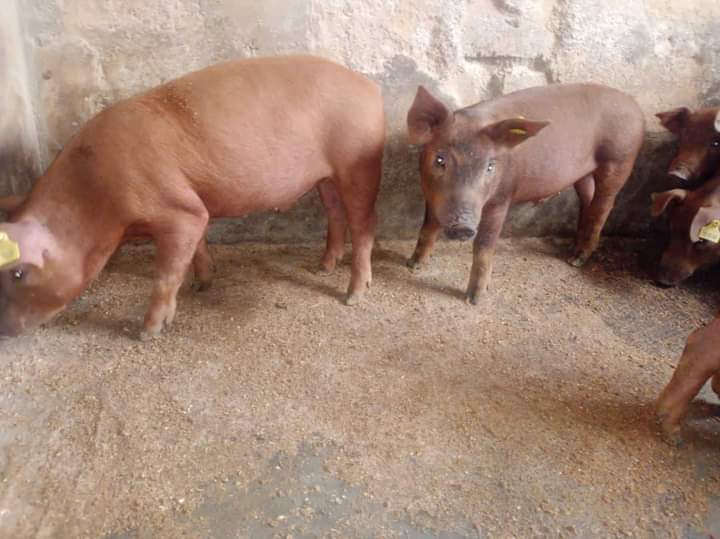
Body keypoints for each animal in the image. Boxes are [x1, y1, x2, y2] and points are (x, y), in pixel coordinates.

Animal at [0, 55, 385, 340]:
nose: (5, 330)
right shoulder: (194, 205)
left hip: (358, 164)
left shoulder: (176, 211)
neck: (98, 194)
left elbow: (166, 274)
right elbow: (197, 243)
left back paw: (353, 295)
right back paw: (322, 266)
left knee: (364, 225)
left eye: (18, 273)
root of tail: (370, 87)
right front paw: (203, 284)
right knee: (335, 214)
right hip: (326, 177)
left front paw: (147, 332)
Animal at [405, 84, 644, 303]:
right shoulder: (430, 194)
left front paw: (475, 300)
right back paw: (572, 252)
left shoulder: (501, 198)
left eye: (490, 166)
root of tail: (635, 106)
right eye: (440, 159)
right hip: (584, 173)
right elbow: (427, 228)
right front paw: (413, 265)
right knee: (589, 201)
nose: (463, 226)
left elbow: (484, 245)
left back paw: (577, 260)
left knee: (604, 205)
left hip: (619, 159)